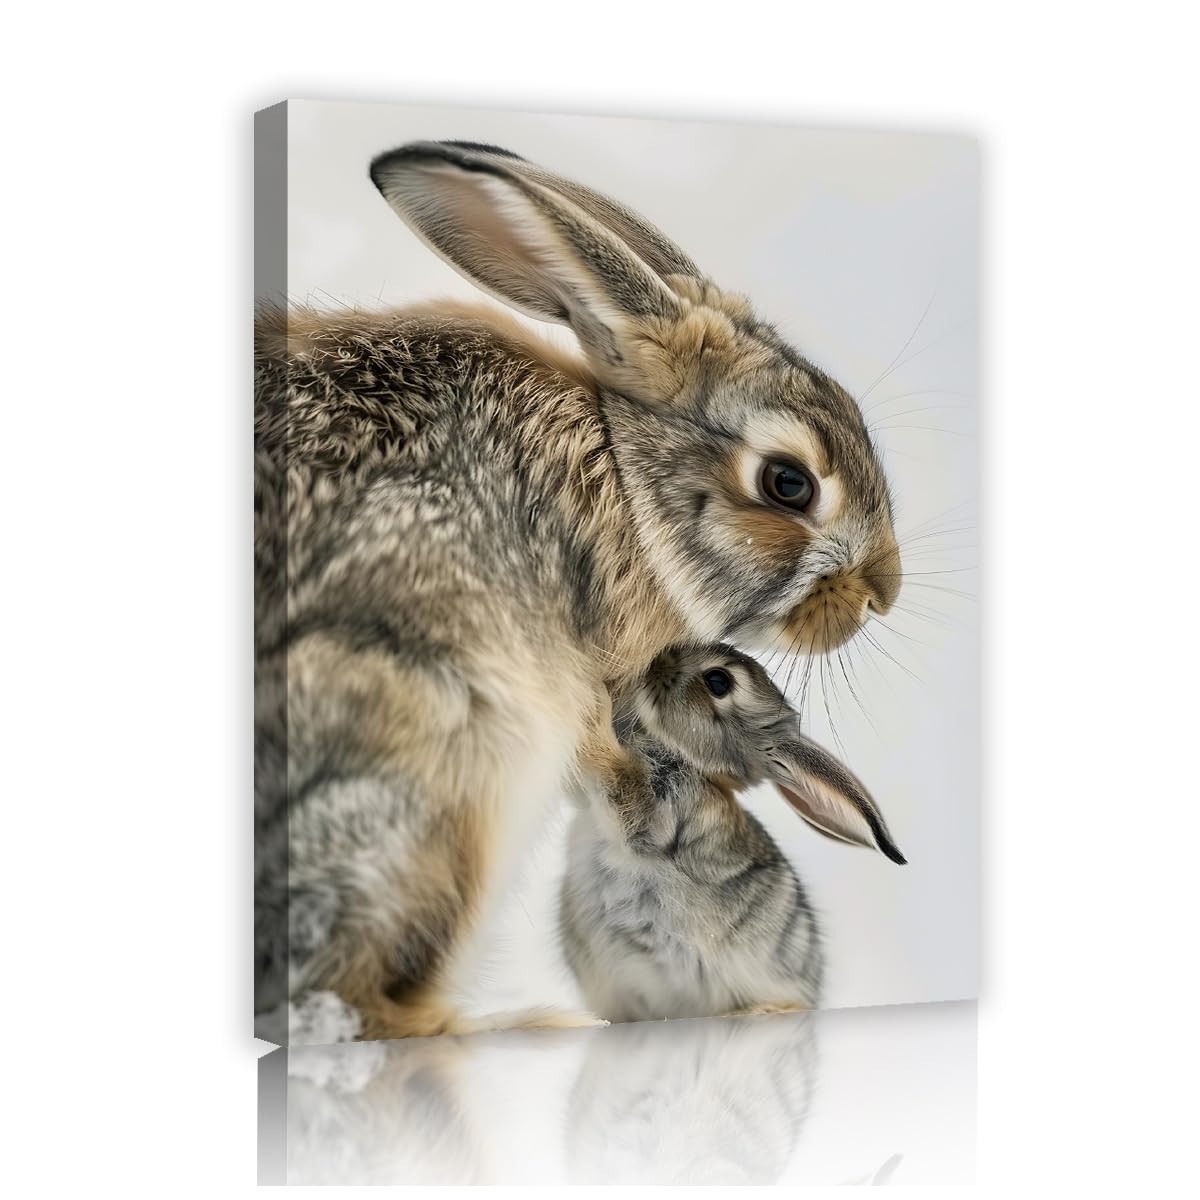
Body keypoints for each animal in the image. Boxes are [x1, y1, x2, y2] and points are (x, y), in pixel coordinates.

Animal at [560, 643, 905, 1022]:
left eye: (718, 681)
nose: (660, 659)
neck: (698, 766)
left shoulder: (666, 809)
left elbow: (622, 792)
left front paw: (594, 702)